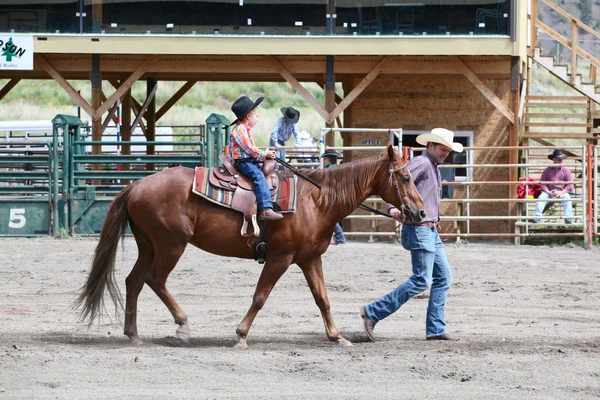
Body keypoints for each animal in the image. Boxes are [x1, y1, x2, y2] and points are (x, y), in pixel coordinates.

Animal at [77, 144, 424, 346]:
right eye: (406, 178)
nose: (421, 213)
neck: (316, 201)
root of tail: (136, 185)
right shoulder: (279, 258)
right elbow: (260, 296)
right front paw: (241, 336)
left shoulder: (310, 258)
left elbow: (322, 299)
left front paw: (337, 337)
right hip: (170, 244)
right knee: (154, 280)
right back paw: (183, 326)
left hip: (148, 244)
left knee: (134, 281)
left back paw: (133, 335)